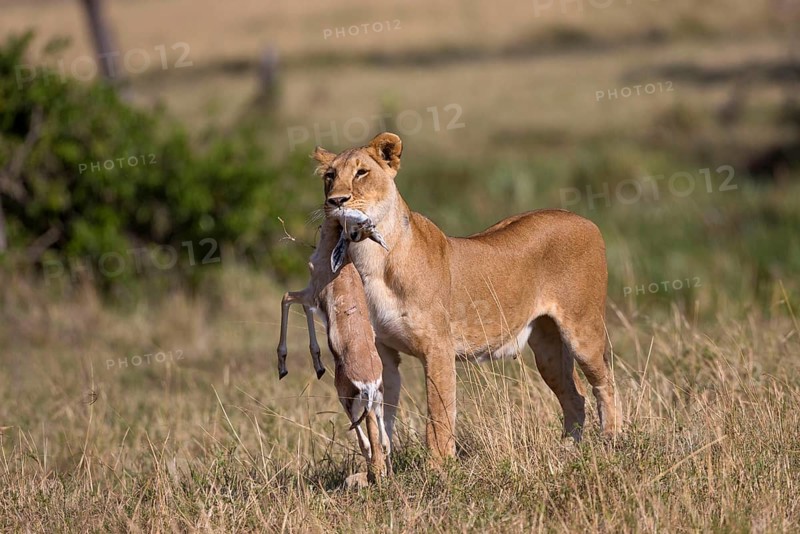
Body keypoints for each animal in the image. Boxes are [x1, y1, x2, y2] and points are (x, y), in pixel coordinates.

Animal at [312, 132, 621, 462]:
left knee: (605, 383)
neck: (373, 261)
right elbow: (381, 415)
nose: (336, 201)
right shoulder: (382, 351)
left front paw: (439, 467)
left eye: (361, 172)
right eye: (330, 176)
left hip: (583, 329)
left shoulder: (438, 347)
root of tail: (584, 219)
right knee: (574, 394)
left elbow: (438, 414)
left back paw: (611, 441)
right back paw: (568, 449)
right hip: (547, 348)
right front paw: (380, 463)